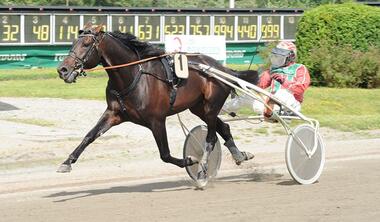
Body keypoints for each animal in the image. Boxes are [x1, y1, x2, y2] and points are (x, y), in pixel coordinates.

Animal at [56, 24, 256, 187]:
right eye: (73, 42)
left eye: (86, 44)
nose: (62, 70)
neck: (133, 75)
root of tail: (223, 69)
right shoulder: (113, 114)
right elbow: (89, 136)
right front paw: (66, 163)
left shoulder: (157, 120)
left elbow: (165, 154)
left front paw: (190, 160)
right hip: (199, 108)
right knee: (224, 127)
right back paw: (240, 155)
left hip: (211, 107)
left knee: (211, 138)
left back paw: (202, 171)